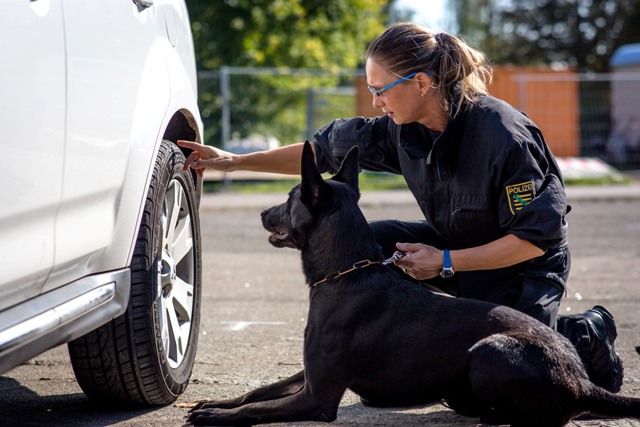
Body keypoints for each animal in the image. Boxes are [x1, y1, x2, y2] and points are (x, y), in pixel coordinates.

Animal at [189, 142, 640, 426]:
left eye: (289, 197)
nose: (262, 213)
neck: (348, 273)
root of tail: (580, 380)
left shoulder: (319, 397)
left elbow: (257, 409)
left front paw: (217, 416)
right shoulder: (306, 375)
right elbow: (256, 393)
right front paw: (214, 402)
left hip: (489, 351)